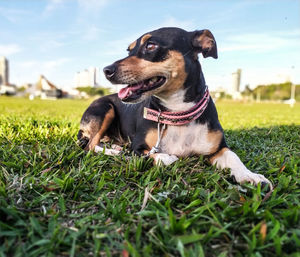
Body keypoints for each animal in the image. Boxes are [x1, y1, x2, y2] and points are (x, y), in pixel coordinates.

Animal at [77, 27, 272, 189]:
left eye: (151, 45)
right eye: (129, 50)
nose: (106, 70)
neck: (177, 113)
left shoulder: (218, 149)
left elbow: (234, 157)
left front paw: (251, 176)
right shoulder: (137, 147)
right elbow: (155, 155)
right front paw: (165, 157)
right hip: (105, 108)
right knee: (91, 145)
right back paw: (113, 151)